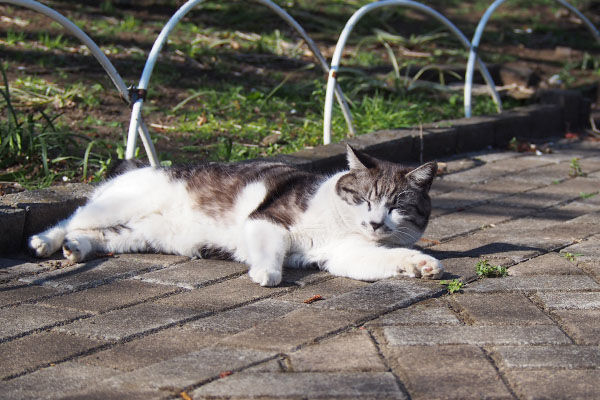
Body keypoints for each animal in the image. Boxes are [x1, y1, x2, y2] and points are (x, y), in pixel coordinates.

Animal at [29, 145, 440, 286]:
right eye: (364, 200)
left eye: (396, 207)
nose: (375, 223)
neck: (338, 223)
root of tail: (141, 166)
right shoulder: (268, 221)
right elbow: (271, 251)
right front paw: (267, 274)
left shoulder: (345, 254)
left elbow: (383, 259)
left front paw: (420, 264)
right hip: (118, 204)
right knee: (71, 219)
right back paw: (46, 241)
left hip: (135, 235)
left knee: (99, 235)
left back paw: (76, 249)